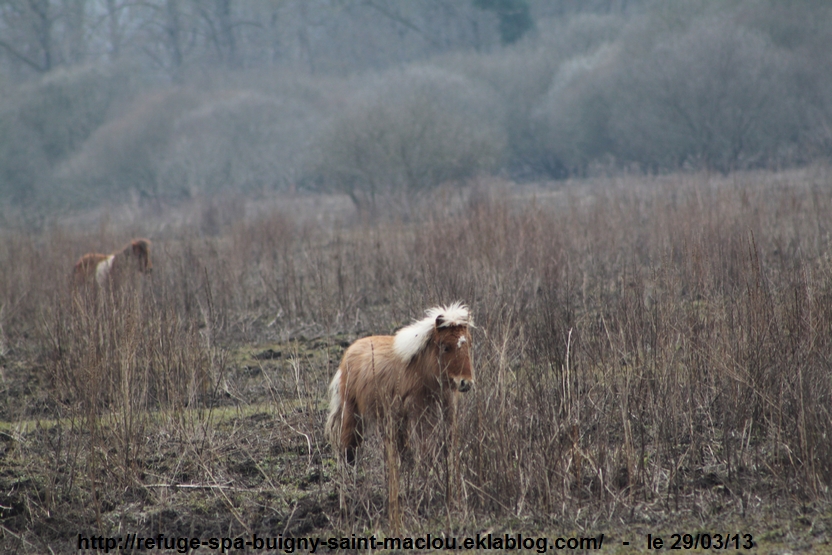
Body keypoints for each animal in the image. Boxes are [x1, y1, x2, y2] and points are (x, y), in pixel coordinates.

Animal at [326, 302, 474, 466]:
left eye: (469, 344)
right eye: (445, 347)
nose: (465, 382)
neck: (421, 371)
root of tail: (349, 351)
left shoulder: (446, 409)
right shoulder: (420, 413)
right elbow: (425, 445)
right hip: (352, 412)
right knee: (348, 444)